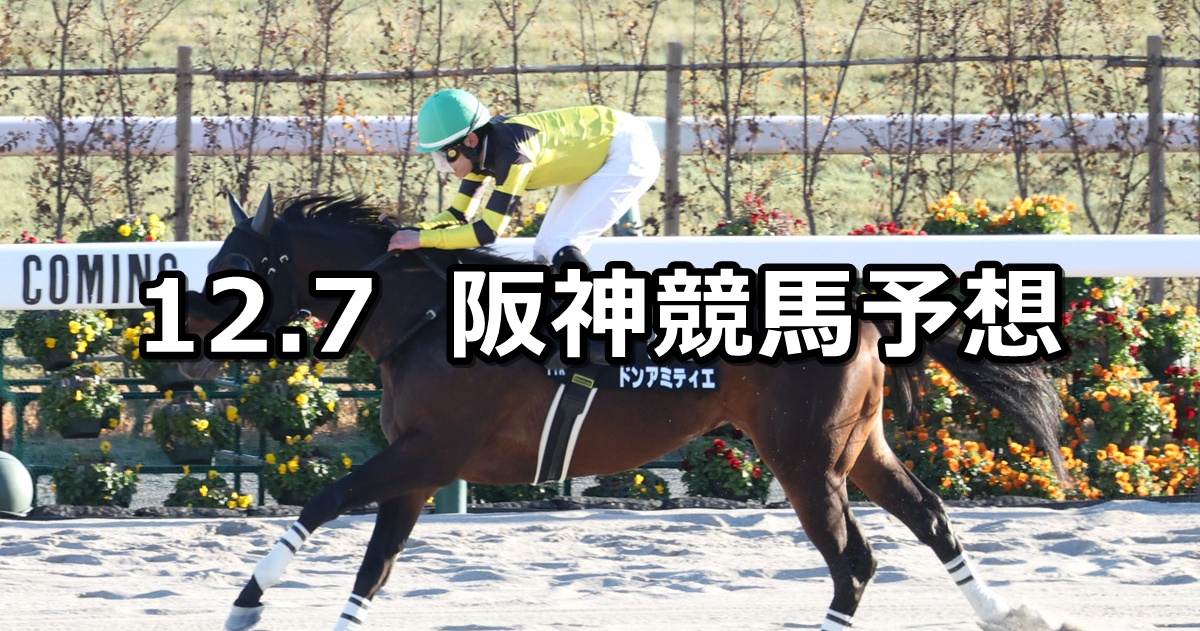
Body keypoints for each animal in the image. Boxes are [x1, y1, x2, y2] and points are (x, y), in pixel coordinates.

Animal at [179, 192, 1074, 631]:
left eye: (231, 266)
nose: (188, 341)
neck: (425, 316)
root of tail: (858, 305)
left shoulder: (431, 451)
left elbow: (324, 500)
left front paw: (247, 601)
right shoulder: (421, 469)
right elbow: (375, 564)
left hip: (802, 457)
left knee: (853, 560)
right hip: (856, 447)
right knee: (930, 518)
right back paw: (1008, 612)